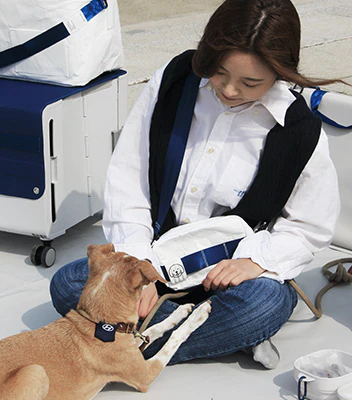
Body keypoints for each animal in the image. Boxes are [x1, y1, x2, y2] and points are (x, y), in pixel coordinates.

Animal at [0, 242, 210, 398]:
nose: (149, 258)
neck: (99, 323)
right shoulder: (145, 374)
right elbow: (173, 339)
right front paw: (198, 315)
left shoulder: (130, 343)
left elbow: (153, 329)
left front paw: (180, 312)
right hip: (34, 372)